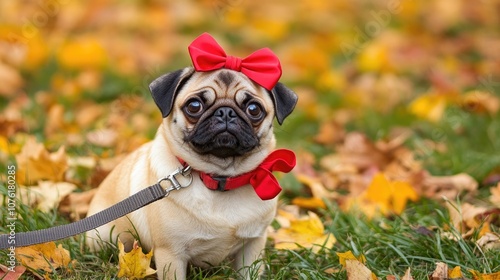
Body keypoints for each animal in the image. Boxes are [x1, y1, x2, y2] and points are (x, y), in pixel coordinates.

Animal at [86, 34, 296, 278]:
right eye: (194, 106)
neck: (220, 179)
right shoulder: (171, 254)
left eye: (254, 109)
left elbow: (249, 271)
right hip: (105, 236)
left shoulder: (253, 245)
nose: (226, 112)